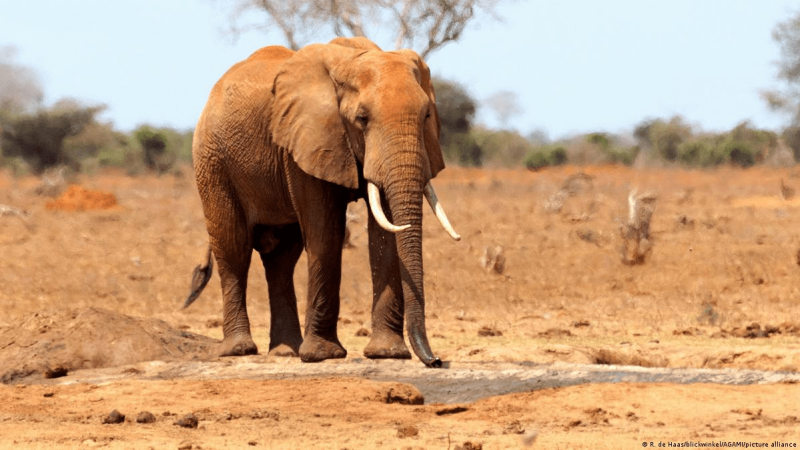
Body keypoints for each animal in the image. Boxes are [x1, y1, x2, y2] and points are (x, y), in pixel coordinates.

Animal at [182, 37, 459, 368]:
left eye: (427, 116)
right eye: (362, 119)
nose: (436, 360)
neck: (351, 59)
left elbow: (384, 233)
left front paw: (387, 354)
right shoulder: (304, 143)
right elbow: (325, 233)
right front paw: (323, 356)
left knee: (281, 257)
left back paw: (286, 351)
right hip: (212, 160)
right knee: (234, 248)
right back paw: (241, 349)